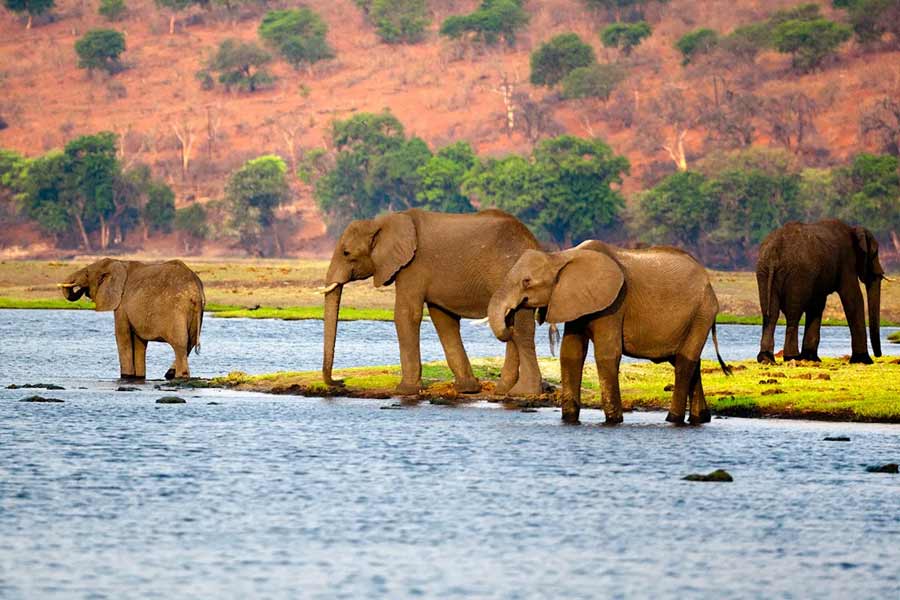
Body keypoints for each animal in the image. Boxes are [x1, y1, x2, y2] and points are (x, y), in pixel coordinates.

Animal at [58, 258, 206, 380]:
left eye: (87, 274)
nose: (82, 290)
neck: (117, 262)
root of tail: (196, 290)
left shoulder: (121, 304)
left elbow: (122, 335)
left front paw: (126, 376)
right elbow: (139, 342)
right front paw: (138, 377)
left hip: (176, 310)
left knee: (180, 344)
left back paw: (179, 376)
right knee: (191, 342)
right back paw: (170, 374)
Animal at [322, 208, 544, 396]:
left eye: (346, 253)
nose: (340, 382)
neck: (382, 222)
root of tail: (533, 241)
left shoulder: (412, 266)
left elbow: (406, 314)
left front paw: (405, 391)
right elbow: (443, 320)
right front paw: (467, 389)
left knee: (522, 329)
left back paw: (520, 392)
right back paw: (504, 390)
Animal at [488, 240, 731, 425]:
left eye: (526, 281)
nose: (510, 320)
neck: (561, 257)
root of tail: (709, 283)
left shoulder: (614, 303)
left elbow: (607, 354)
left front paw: (614, 420)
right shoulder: (575, 301)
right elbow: (571, 354)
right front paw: (569, 419)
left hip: (702, 311)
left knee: (684, 363)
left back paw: (673, 419)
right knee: (689, 362)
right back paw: (701, 419)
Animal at [756, 220, 884, 365]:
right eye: (875, 253)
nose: (878, 355)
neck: (853, 230)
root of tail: (774, 252)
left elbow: (816, 306)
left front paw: (811, 358)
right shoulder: (846, 262)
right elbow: (853, 298)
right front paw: (864, 360)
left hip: (764, 271)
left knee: (771, 314)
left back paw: (766, 358)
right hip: (797, 274)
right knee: (793, 314)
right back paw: (792, 357)